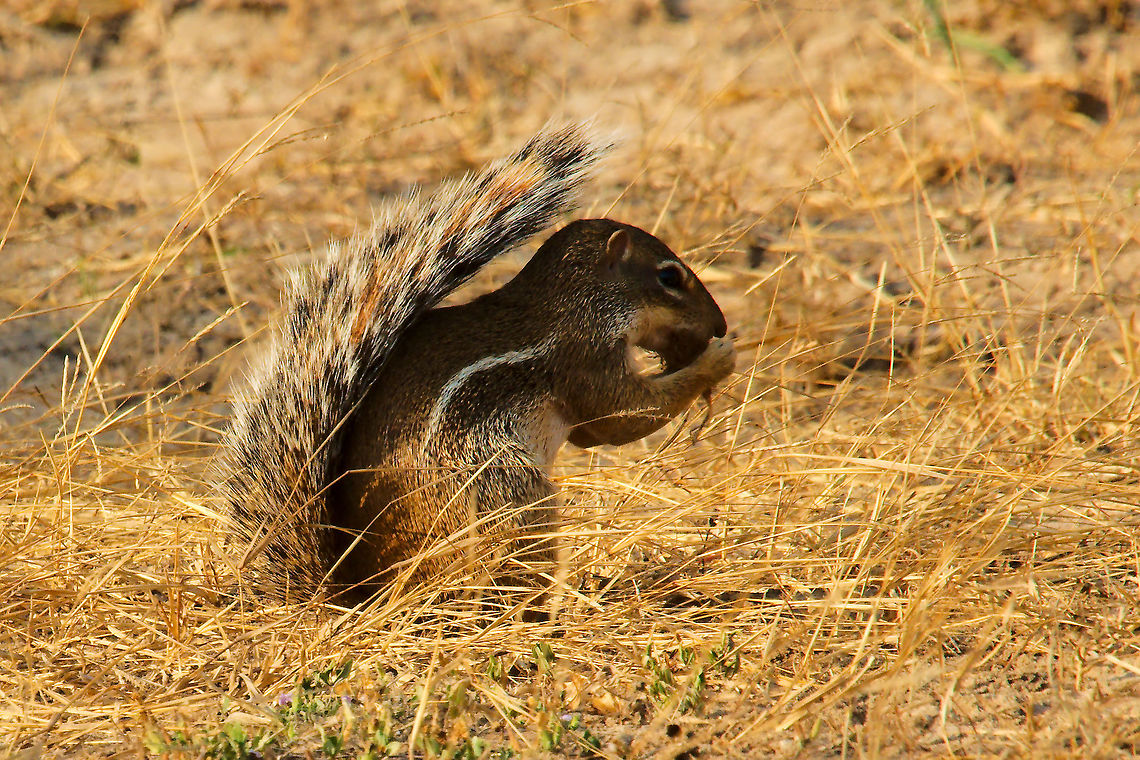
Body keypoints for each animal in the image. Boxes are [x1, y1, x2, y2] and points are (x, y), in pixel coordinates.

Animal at [219, 124, 735, 603]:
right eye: (669, 277)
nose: (721, 324)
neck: (576, 301)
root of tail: (359, 592)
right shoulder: (583, 358)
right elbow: (620, 417)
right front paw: (716, 361)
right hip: (509, 494)